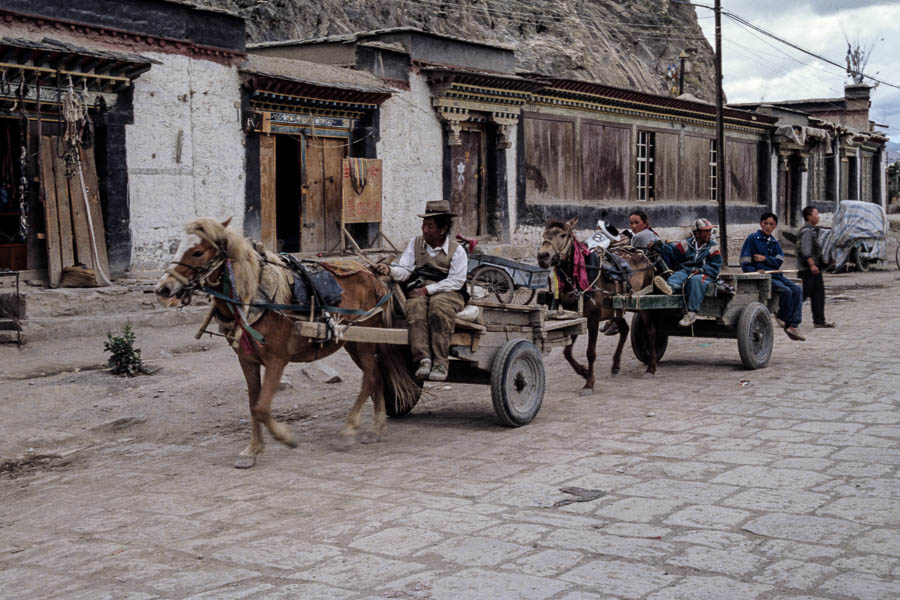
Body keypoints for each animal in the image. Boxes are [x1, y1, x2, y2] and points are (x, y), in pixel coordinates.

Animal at [157, 218, 418, 466]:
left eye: (197, 252)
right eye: (177, 246)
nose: (163, 288)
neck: (254, 298)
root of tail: (372, 271)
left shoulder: (277, 360)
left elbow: (262, 407)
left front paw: (286, 438)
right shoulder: (247, 360)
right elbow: (253, 404)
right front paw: (252, 450)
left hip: (364, 340)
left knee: (370, 377)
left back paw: (350, 430)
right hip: (355, 340)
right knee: (376, 376)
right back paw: (376, 428)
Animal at [536, 217, 656, 394]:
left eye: (563, 235)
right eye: (544, 234)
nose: (543, 256)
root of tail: (644, 256)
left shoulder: (593, 318)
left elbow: (590, 353)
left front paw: (589, 383)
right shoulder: (576, 316)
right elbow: (567, 352)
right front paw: (584, 372)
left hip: (644, 302)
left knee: (650, 331)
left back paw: (651, 368)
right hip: (618, 307)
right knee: (625, 329)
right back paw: (616, 365)